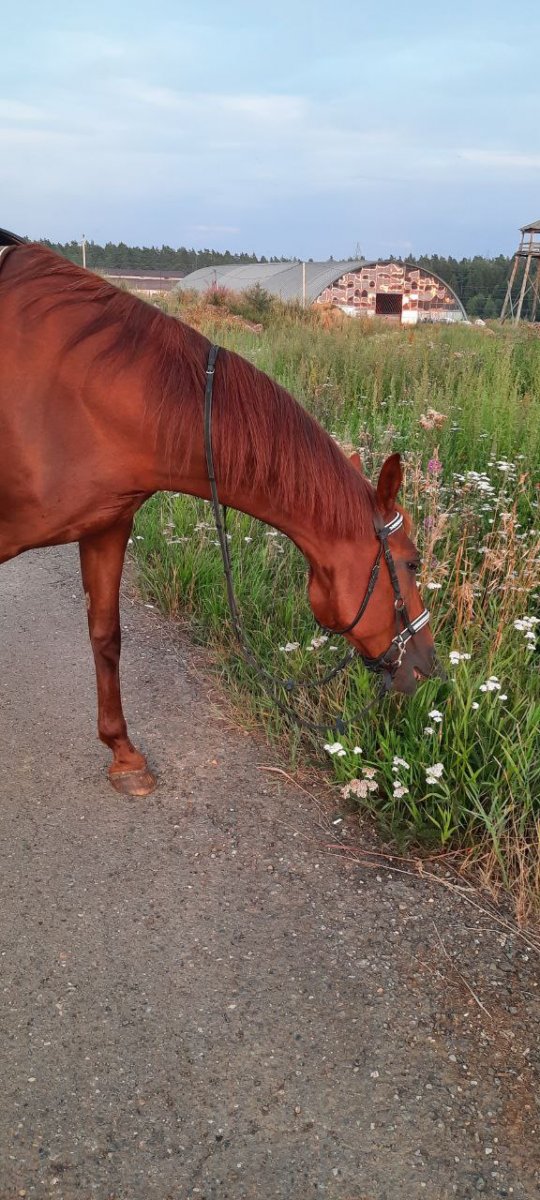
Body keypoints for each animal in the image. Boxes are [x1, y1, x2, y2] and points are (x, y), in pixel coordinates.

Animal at [0, 232, 434, 796]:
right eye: (412, 562)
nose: (427, 664)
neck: (75, 391)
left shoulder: (106, 527)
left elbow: (106, 636)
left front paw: (124, 755)